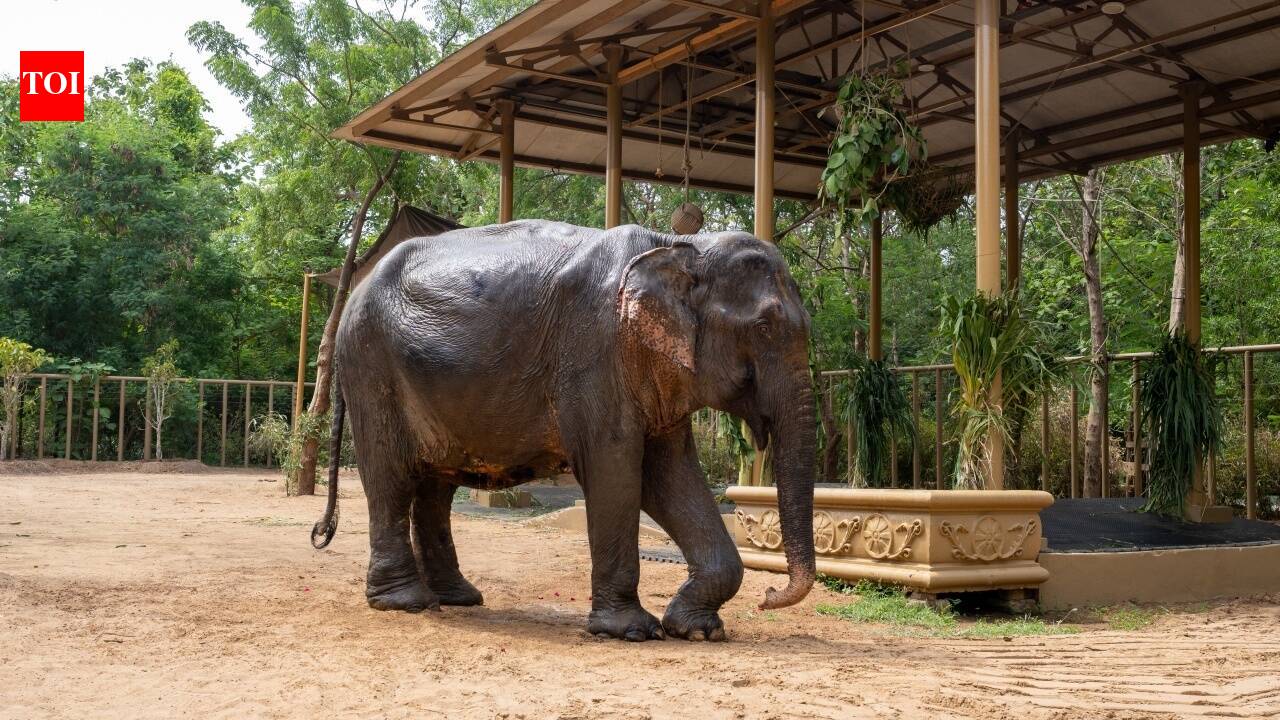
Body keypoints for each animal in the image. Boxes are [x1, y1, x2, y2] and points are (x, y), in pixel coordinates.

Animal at [311, 220, 816, 642]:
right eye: (764, 327)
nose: (768, 598)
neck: (682, 245)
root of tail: (350, 297)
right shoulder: (595, 353)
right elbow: (616, 470)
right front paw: (632, 632)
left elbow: (670, 477)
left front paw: (697, 630)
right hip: (371, 366)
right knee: (391, 477)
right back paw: (407, 603)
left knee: (435, 487)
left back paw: (459, 598)